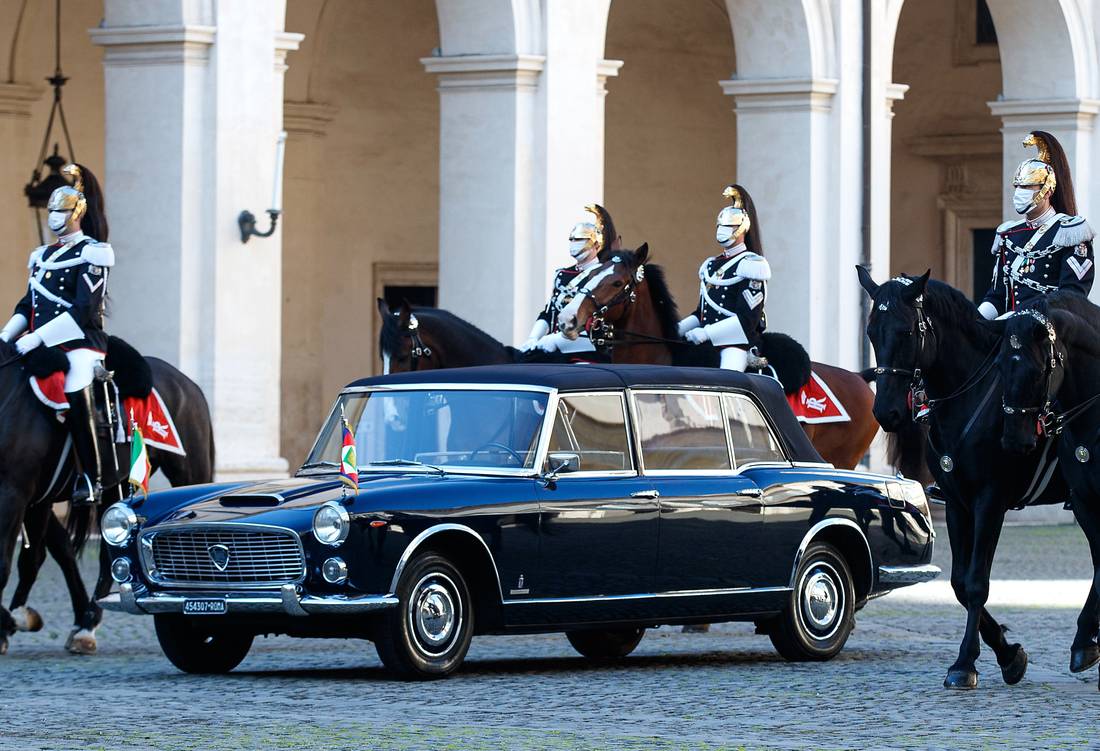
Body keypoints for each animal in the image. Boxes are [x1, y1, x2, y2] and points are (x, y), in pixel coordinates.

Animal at [0, 338, 214, 655]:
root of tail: (188, 383)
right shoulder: (36, 499)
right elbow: (44, 553)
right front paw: (13, 621)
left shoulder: (17, 493)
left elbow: (19, 560)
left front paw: (12, 621)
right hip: (116, 486)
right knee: (103, 554)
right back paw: (85, 622)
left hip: (189, 475)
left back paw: (88, 625)